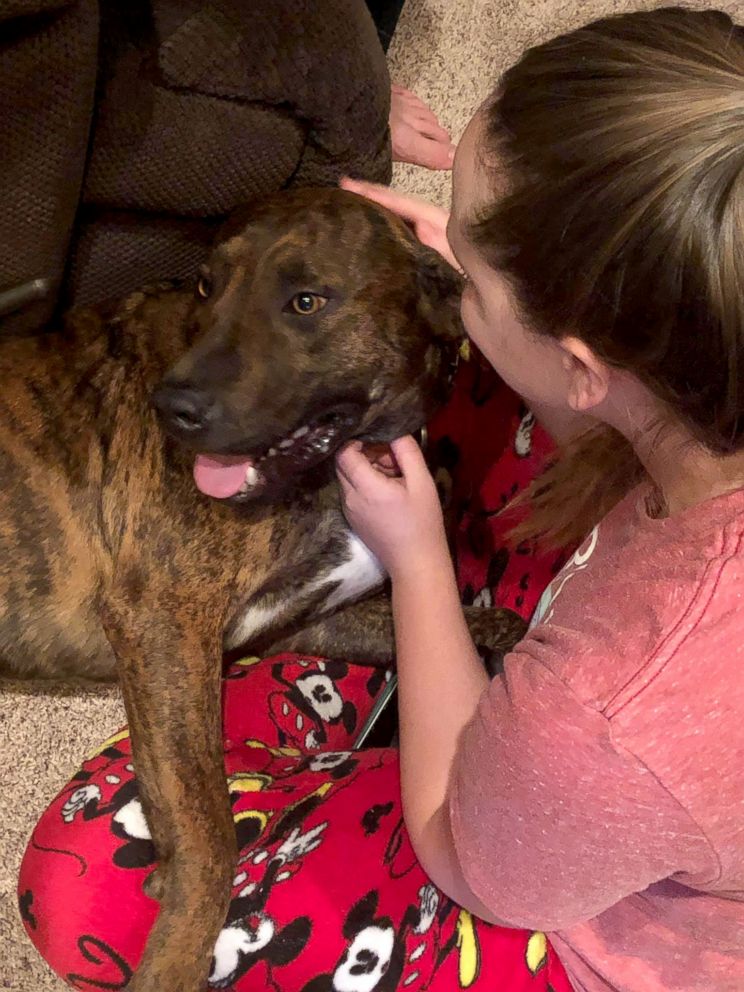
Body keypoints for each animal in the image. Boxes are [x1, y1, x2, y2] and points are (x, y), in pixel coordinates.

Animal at [0, 188, 528, 992]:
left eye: (306, 301)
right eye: (205, 287)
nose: (171, 407)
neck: (334, 467)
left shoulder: (294, 621)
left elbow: (436, 623)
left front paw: (506, 632)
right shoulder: (164, 620)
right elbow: (209, 824)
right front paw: (177, 949)